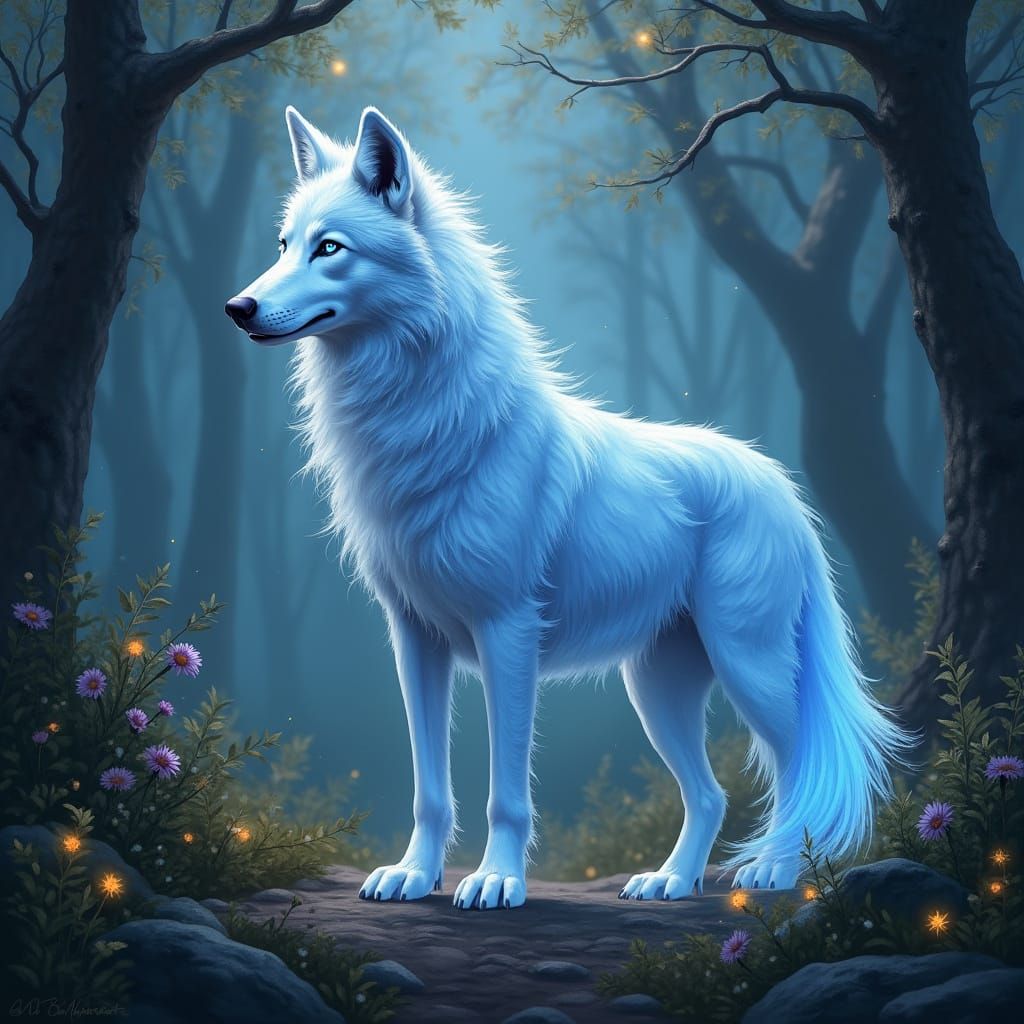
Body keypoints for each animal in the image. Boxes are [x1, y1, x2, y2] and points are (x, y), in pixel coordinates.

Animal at [225, 106, 911, 910]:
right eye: (283, 246)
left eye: (329, 248)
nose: (237, 308)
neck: (425, 424)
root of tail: (783, 486)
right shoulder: (413, 638)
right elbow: (429, 786)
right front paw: (414, 876)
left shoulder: (508, 634)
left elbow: (507, 791)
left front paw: (496, 880)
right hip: (657, 689)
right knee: (711, 794)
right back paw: (670, 882)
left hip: (749, 666)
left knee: (804, 762)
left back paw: (774, 871)